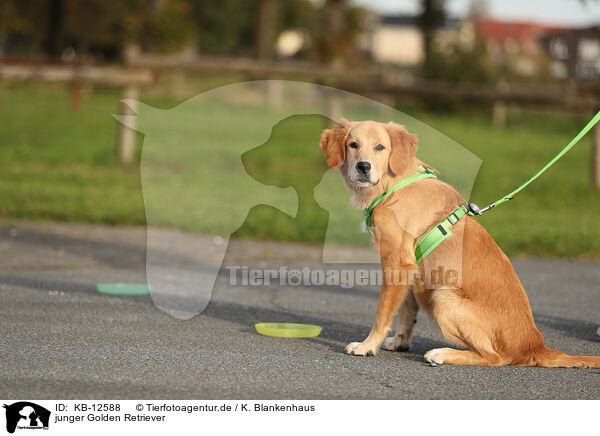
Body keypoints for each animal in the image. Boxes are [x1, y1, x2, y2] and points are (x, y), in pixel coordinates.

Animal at [322, 120, 596, 368]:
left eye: (380, 147)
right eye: (353, 144)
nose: (363, 167)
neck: (394, 184)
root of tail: (534, 345)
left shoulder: (397, 260)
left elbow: (383, 312)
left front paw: (367, 346)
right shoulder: (411, 267)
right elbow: (406, 311)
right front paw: (399, 342)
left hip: (443, 298)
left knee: (495, 358)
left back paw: (442, 354)